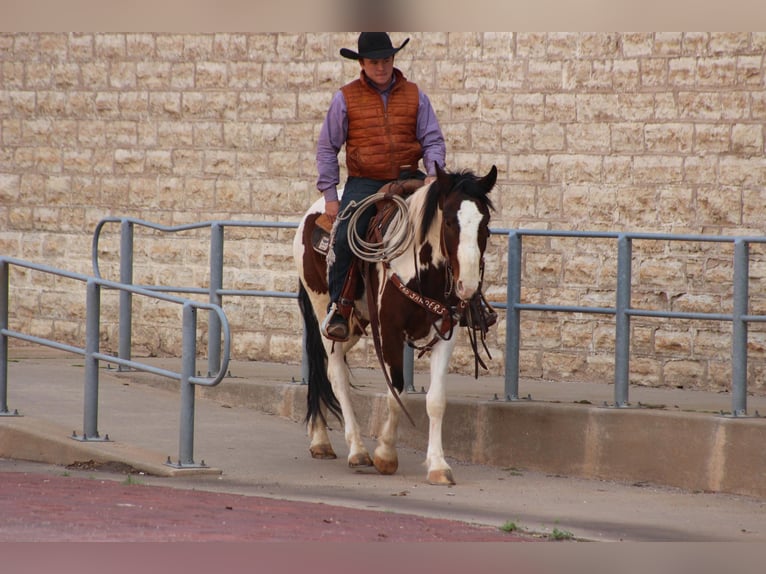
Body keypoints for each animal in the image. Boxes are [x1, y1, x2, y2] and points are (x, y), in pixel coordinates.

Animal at [292, 165, 498, 486]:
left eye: (485, 223)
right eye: (449, 222)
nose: (467, 286)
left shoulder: (446, 330)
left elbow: (436, 399)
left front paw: (438, 465)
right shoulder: (389, 331)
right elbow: (396, 391)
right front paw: (386, 454)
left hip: (355, 324)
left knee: (322, 368)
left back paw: (320, 440)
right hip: (324, 311)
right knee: (335, 373)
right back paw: (357, 449)